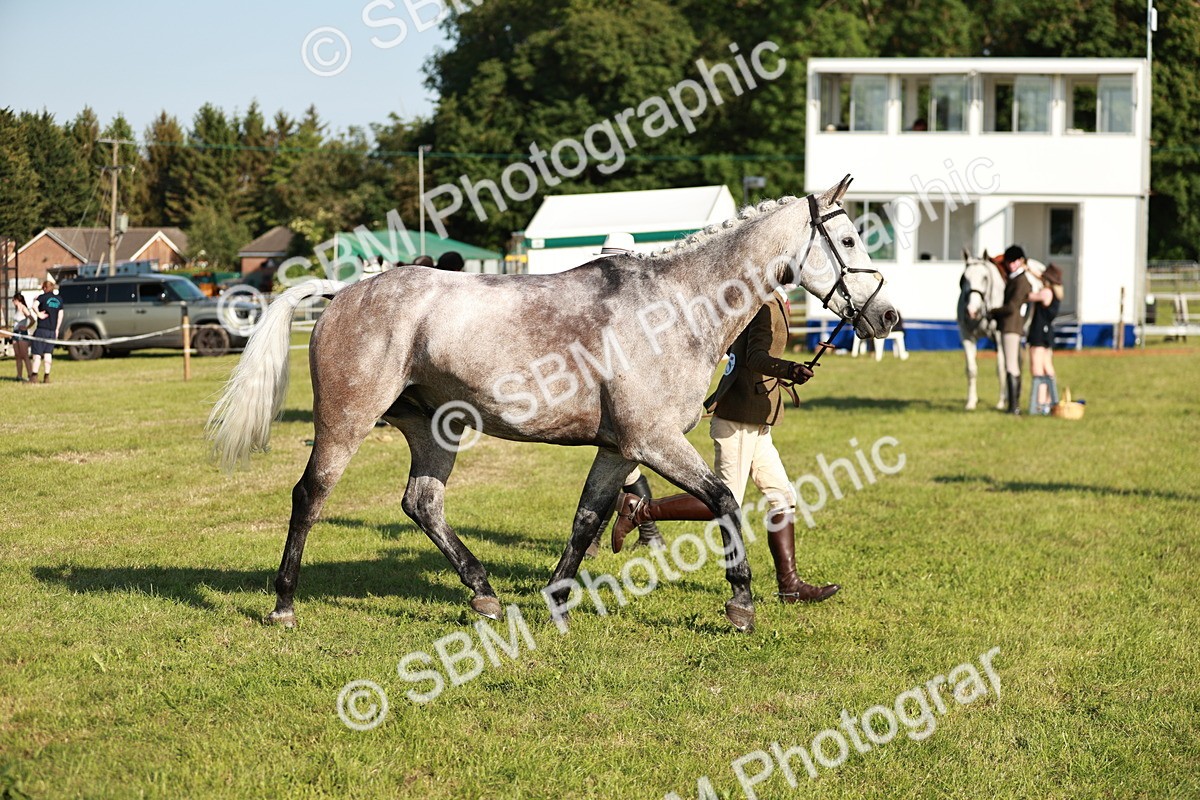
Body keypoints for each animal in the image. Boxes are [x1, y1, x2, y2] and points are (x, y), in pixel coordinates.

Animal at [207, 176, 898, 633]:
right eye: (847, 238)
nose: (887, 316)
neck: (676, 307)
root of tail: (346, 290)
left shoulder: (620, 449)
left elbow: (588, 519)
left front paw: (556, 598)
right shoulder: (654, 442)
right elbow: (725, 501)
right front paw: (740, 603)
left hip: (435, 430)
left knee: (422, 503)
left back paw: (484, 594)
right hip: (345, 423)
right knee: (310, 496)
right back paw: (284, 604)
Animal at [957, 250, 1008, 411]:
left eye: (985, 278)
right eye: (964, 278)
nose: (971, 311)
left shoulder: (999, 337)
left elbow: (1001, 369)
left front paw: (1000, 402)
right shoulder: (967, 336)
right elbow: (971, 370)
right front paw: (971, 402)